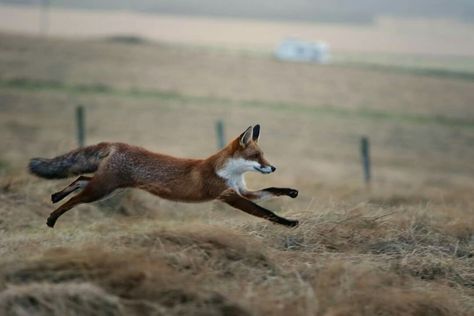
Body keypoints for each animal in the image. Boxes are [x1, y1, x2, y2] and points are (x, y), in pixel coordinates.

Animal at [27, 124, 298, 228]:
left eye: (263, 156)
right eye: (256, 156)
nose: (273, 167)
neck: (231, 174)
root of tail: (119, 145)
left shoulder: (243, 191)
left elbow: (272, 191)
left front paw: (291, 191)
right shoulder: (228, 195)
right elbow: (265, 212)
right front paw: (288, 223)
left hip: (109, 187)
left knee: (80, 179)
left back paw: (55, 195)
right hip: (102, 190)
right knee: (76, 197)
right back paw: (52, 217)